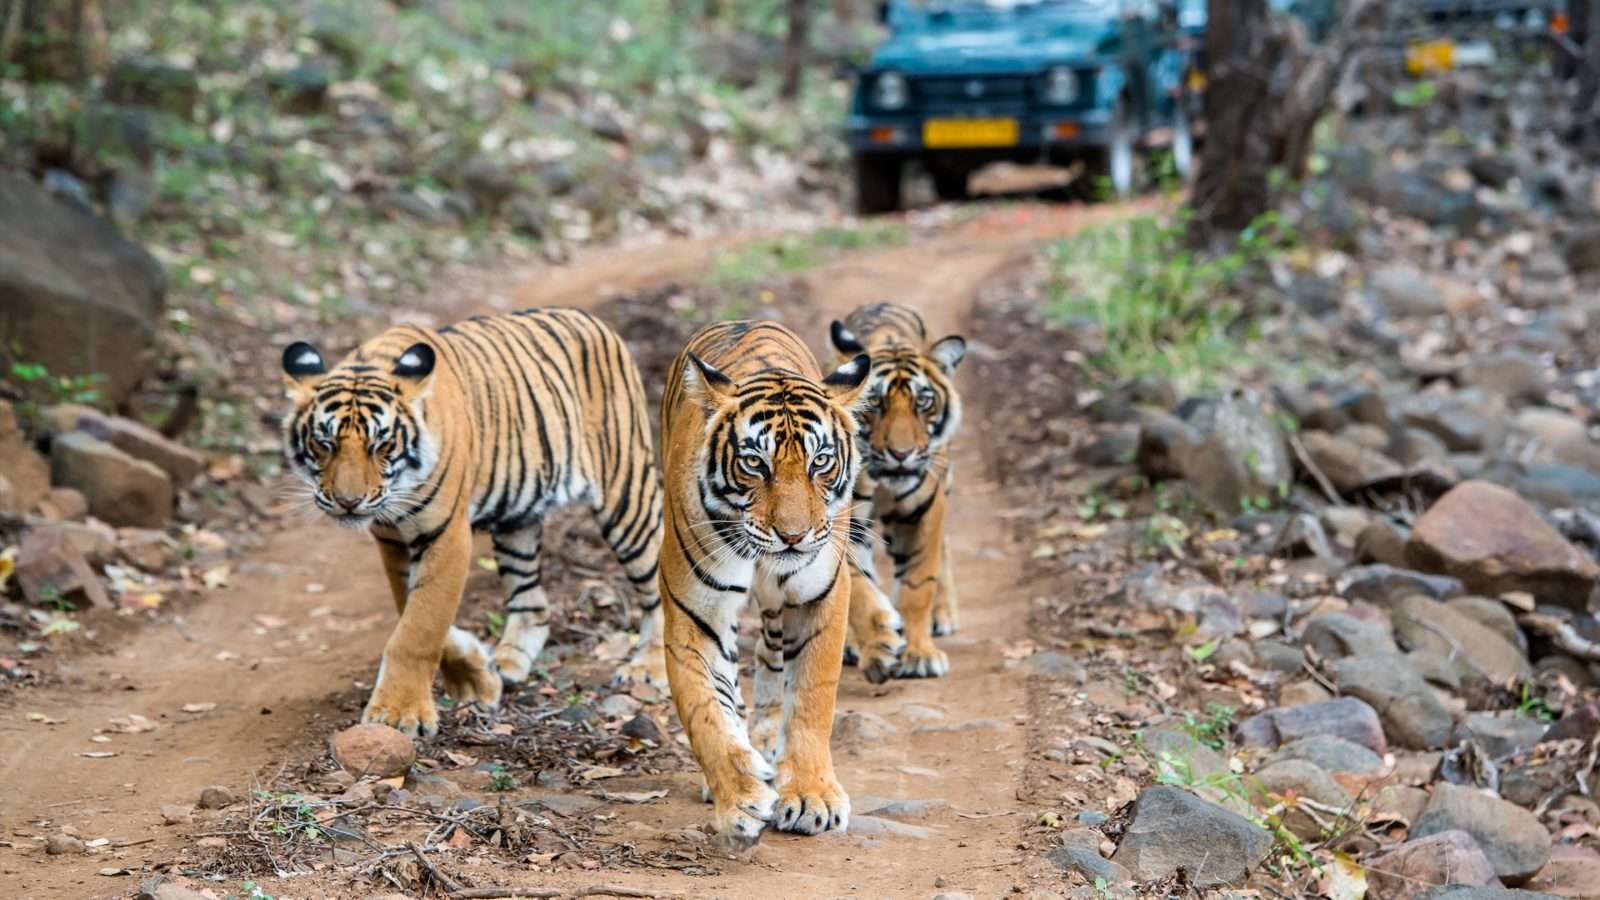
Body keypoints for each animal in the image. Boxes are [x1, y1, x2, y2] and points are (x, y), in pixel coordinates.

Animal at [279, 308, 667, 738]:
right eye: (324, 443)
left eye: (382, 444)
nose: (348, 502)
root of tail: (591, 319)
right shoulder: (393, 540)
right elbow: (411, 609)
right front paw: (475, 677)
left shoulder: (446, 535)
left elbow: (420, 626)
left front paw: (399, 713)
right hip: (518, 519)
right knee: (532, 600)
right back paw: (509, 663)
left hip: (627, 494)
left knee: (658, 584)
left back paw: (649, 668)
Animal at [657, 320, 871, 847]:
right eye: (755, 463)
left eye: (821, 462)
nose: (792, 536)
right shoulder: (695, 613)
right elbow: (706, 711)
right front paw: (739, 798)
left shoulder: (820, 597)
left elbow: (812, 698)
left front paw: (812, 796)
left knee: (773, 657)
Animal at [829, 302, 966, 680]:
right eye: (876, 403)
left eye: (923, 402)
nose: (901, 454)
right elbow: (859, 587)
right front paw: (880, 645)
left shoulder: (924, 511)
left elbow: (918, 584)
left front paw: (920, 654)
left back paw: (942, 615)